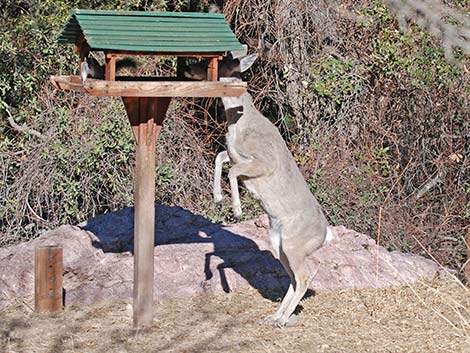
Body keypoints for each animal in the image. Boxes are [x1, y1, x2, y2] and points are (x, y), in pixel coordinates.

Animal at [182, 51, 332, 326]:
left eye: (215, 63)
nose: (188, 68)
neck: (239, 123)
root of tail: (324, 235)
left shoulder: (264, 161)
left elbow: (232, 171)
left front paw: (236, 209)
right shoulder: (235, 155)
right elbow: (220, 158)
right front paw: (218, 198)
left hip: (294, 244)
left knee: (305, 276)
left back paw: (282, 319)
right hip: (280, 245)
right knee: (295, 277)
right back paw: (275, 317)